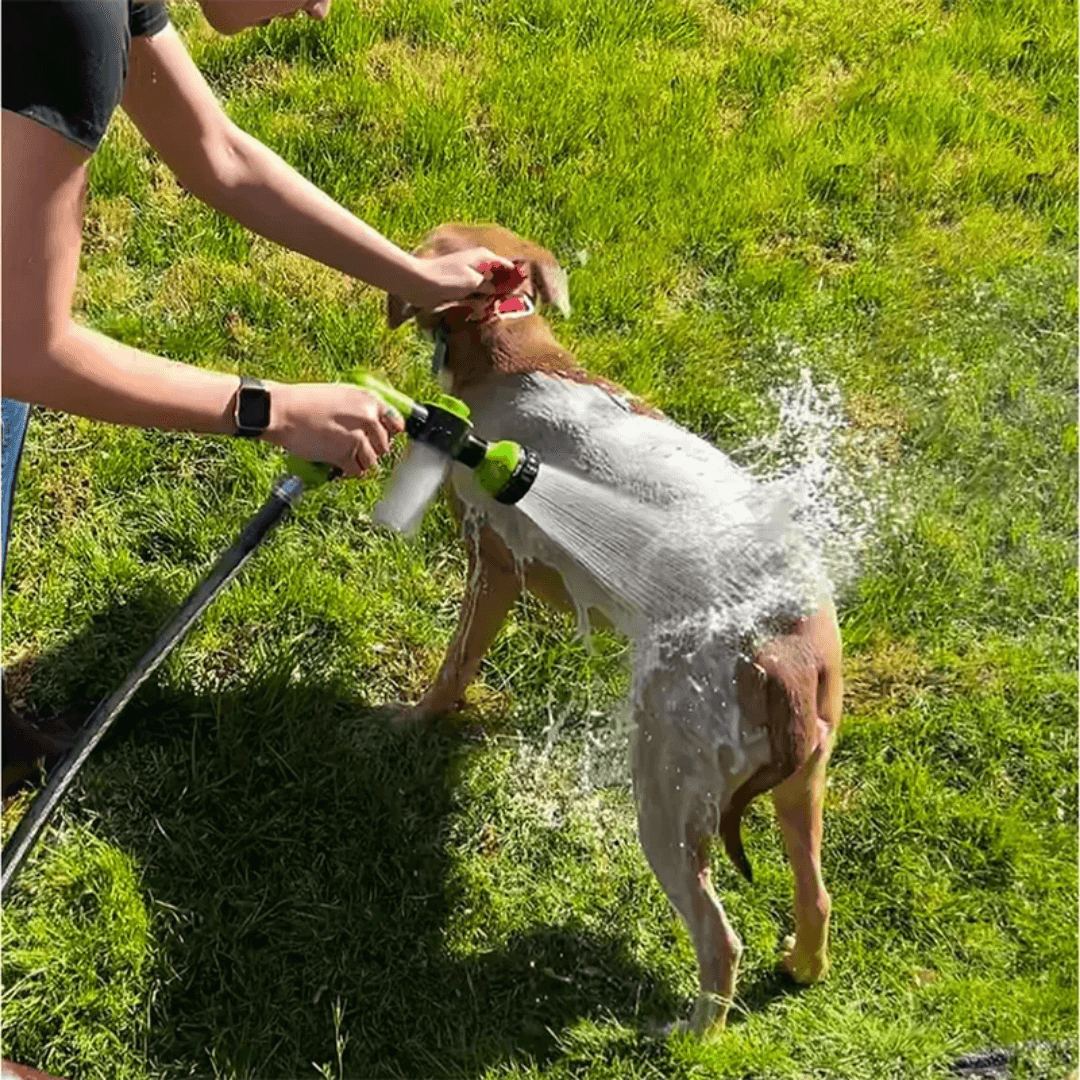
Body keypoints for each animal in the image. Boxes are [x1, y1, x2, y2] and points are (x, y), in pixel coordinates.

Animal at [388, 221, 842, 1036]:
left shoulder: (492, 566)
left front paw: (410, 720)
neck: (517, 358)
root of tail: (785, 661)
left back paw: (692, 1037)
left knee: (719, 938)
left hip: (668, 796)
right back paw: (800, 965)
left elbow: (453, 669)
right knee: (816, 895)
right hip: (803, 783)